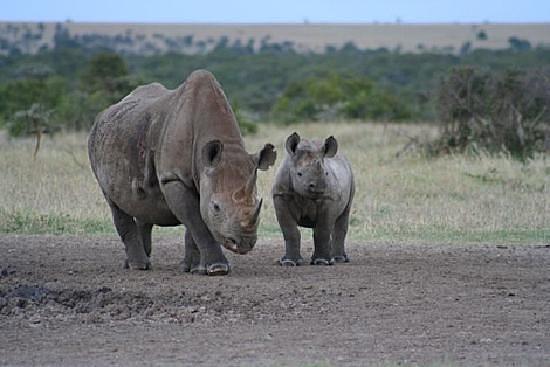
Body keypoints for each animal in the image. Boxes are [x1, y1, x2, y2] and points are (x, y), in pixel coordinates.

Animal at [89, 69, 276, 276]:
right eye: (216, 207)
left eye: (256, 203)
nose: (244, 243)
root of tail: (102, 115)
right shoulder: (174, 178)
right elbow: (197, 222)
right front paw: (217, 268)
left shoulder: (202, 176)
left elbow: (194, 224)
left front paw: (194, 268)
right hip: (95, 142)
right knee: (114, 203)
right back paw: (139, 266)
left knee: (141, 203)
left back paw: (133, 263)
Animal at [274, 134, 356, 266]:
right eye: (299, 174)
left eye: (326, 173)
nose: (319, 187)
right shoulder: (280, 196)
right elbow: (289, 231)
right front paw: (289, 262)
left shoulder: (329, 199)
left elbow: (322, 230)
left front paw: (322, 261)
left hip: (351, 176)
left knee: (343, 215)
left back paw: (337, 259)